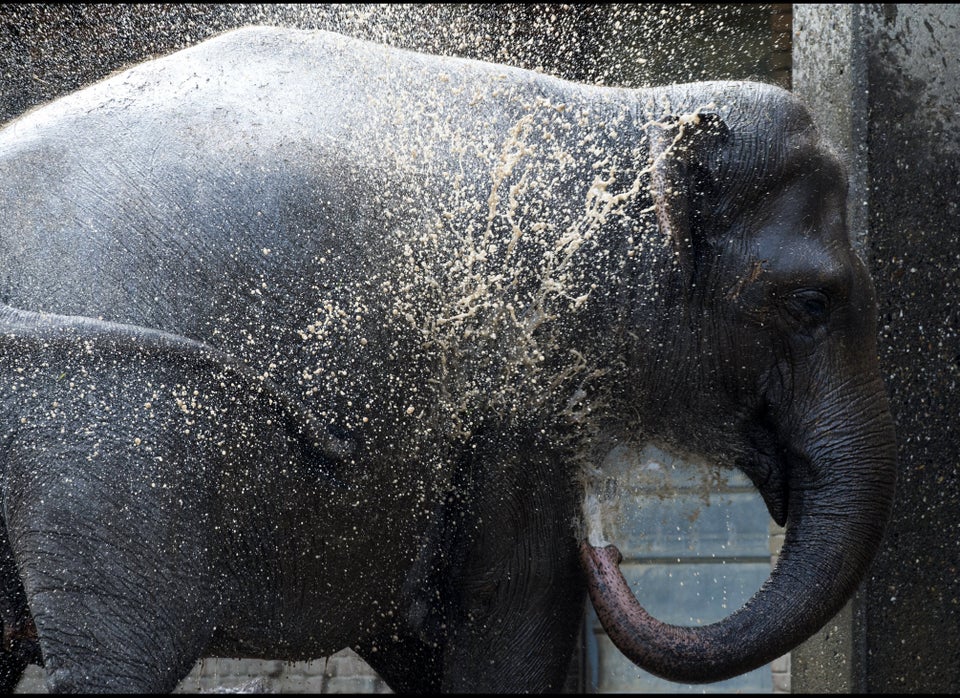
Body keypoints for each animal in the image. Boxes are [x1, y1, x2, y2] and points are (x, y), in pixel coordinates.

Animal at [0, 25, 900, 692]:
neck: (620, 117)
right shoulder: (509, 376)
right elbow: (515, 601)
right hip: (110, 452)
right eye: (811, 304)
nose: (605, 544)